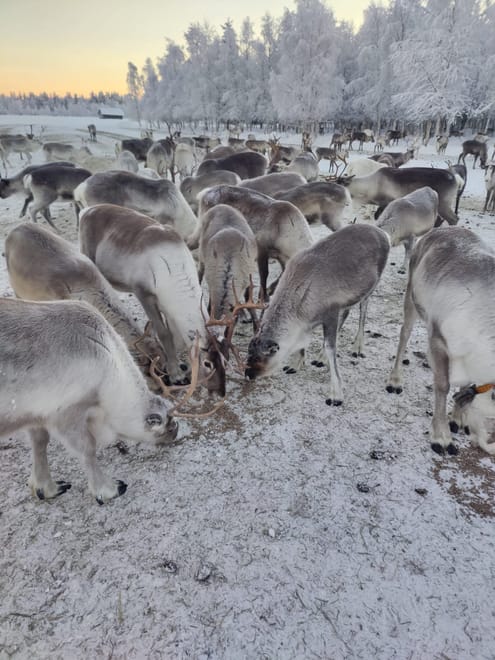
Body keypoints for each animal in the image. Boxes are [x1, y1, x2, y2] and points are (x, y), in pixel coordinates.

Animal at [0, 297, 178, 503]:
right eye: (165, 423)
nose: (176, 432)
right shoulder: (65, 413)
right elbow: (88, 449)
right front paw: (108, 489)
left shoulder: (36, 412)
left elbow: (40, 443)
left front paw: (45, 487)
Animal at [78, 204, 227, 395]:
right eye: (207, 363)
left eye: (226, 360)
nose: (220, 392)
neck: (173, 269)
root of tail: (87, 210)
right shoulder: (143, 292)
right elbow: (164, 333)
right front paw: (175, 374)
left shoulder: (169, 307)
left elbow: (174, 336)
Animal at [245, 223, 390, 405]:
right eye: (248, 353)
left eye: (259, 358)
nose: (247, 374)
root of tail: (384, 233)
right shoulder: (313, 319)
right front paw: (296, 363)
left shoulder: (330, 313)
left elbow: (330, 347)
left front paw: (336, 394)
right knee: (348, 311)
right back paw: (321, 357)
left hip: (371, 288)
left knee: (363, 310)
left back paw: (357, 346)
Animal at [386, 226, 495, 456]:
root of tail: (440, 229)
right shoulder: (438, 339)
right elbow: (443, 386)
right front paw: (441, 437)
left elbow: (465, 387)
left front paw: (457, 419)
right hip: (412, 298)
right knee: (404, 334)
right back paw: (395, 380)